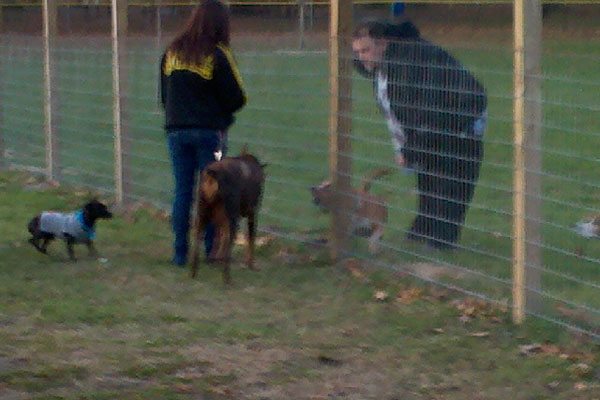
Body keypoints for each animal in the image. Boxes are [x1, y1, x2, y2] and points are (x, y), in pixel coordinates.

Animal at [191, 148, 266, 282]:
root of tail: (212, 175)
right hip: (229, 215)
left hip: (202, 212)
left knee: (198, 236)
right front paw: (251, 265)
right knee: (228, 239)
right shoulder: (252, 212)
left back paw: (194, 272)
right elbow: (250, 238)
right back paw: (227, 277)